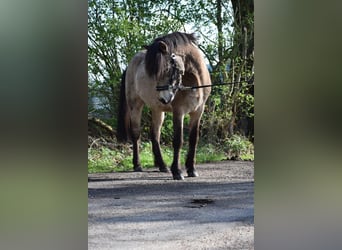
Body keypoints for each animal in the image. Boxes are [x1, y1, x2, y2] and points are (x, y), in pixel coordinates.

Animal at [117, 32, 211, 180]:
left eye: (166, 69)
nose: (163, 98)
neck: (194, 82)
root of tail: (129, 65)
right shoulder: (179, 112)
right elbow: (178, 140)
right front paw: (177, 171)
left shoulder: (198, 112)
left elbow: (193, 139)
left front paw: (191, 169)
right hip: (135, 106)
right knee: (136, 134)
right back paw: (137, 165)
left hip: (157, 110)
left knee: (155, 134)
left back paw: (162, 165)